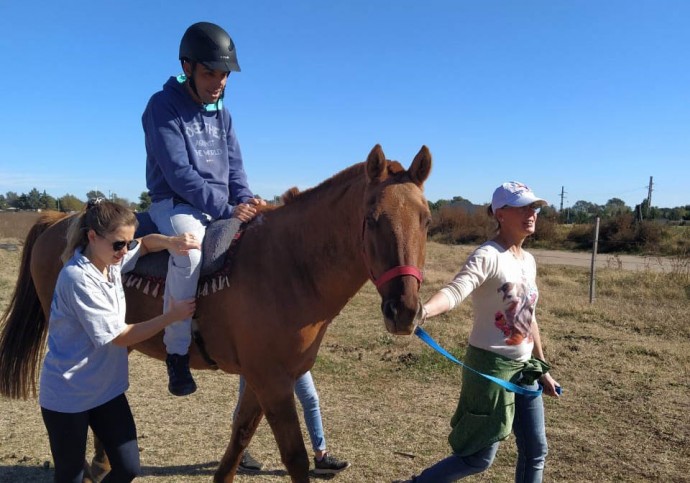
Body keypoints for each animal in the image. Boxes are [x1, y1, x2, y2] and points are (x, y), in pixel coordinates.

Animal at [0, 145, 430, 483]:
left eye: (426, 220)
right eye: (372, 218)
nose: (405, 311)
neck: (288, 265)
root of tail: (61, 221)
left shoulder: (264, 380)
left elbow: (239, 437)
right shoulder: (273, 381)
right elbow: (295, 458)